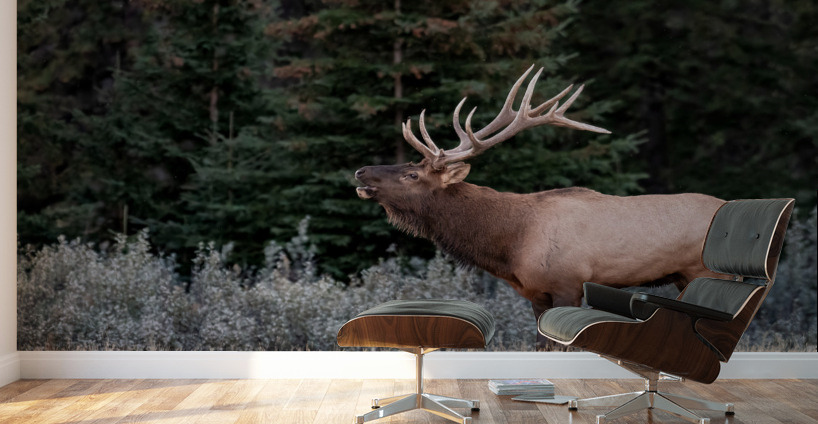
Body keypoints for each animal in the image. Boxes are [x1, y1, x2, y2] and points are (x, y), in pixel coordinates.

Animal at [355, 65, 726, 338]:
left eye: (412, 175)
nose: (361, 172)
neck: (512, 243)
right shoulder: (535, 294)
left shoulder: (568, 285)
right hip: (681, 277)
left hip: (704, 272)